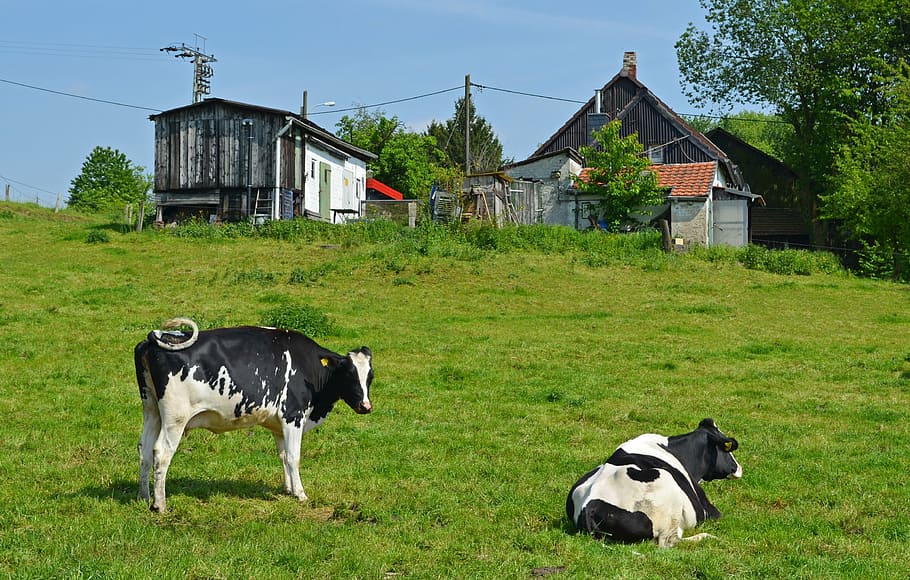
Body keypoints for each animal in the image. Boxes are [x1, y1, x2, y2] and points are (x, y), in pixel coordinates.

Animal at [134, 317, 373, 512]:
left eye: (370, 376)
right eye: (349, 374)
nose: (366, 406)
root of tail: (155, 339)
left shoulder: (279, 424)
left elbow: (283, 456)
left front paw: (288, 490)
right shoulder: (293, 416)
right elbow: (293, 457)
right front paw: (301, 494)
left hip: (151, 410)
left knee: (144, 450)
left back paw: (144, 498)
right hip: (175, 418)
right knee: (161, 452)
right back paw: (160, 504)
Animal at [566, 418, 742, 548]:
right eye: (728, 451)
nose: (739, 468)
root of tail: (589, 506)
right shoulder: (708, 509)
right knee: (668, 542)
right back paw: (709, 537)